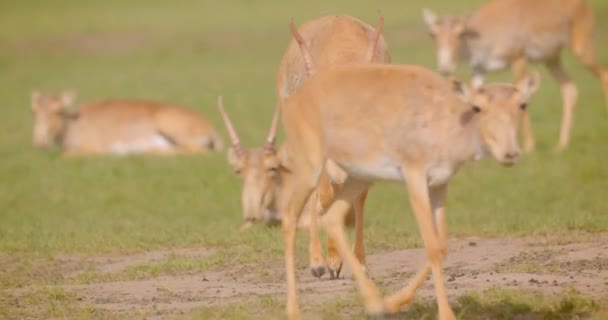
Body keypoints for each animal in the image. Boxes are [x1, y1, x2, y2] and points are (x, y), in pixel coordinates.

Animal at [30, 90, 223, 155]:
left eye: (57, 110)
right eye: (33, 110)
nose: (40, 142)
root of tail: (210, 127)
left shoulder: (94, 148)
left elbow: (67, 155)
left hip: (168, 123)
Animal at [278, 62, 540, 318]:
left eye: (522, 104)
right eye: (477, 107)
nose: (510, 153)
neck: (449, 120)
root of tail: (292, 99)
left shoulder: (439, 185)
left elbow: (441, 246)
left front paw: (393, 302)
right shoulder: (415, 177)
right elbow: (432, 247)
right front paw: (446, 314)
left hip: (359, 177)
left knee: (331, 216)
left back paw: (375, 302)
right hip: (311, 166)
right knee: (290, 216)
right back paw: (295, 307)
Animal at [422, 0, 608, 152]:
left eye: (460, 33)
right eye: (433, 34)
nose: (445, 67)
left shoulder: (519, 59)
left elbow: (522, 95)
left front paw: (529, 146)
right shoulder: (479, 70)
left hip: (581, 48)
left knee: (603, 74)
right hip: (551, 59)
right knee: (570, 88)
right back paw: (561, 145)